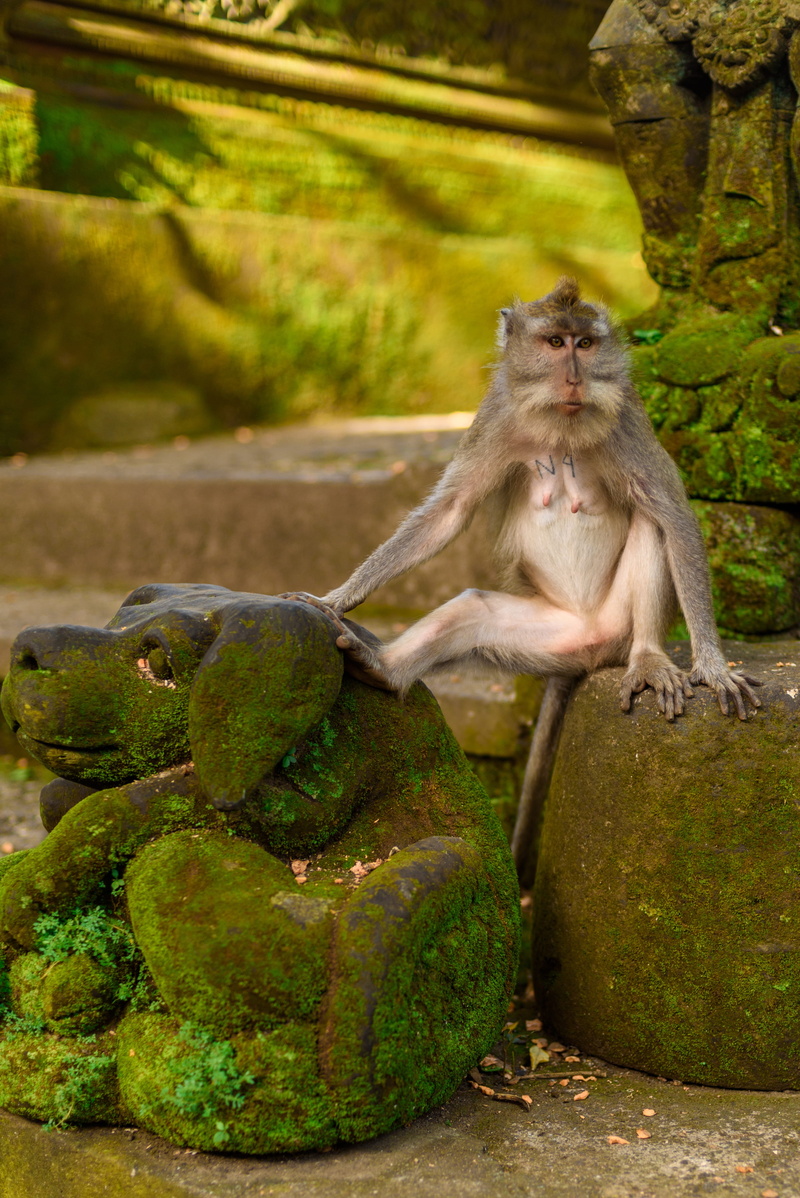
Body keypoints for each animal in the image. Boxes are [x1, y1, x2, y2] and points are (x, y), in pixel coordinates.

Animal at [284, 277, 761, 875]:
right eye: (555, 343)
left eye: (586, 344)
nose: (575, 377)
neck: (561, 422)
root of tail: (589, 644)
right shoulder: (495, 416)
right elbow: (450, 512)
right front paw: (339, 598)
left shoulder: (628, 416)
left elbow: (673, 516)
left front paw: (713, 666)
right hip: (550, 641)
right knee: (472, 609)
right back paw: (383, 670)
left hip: (616, 630)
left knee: (650, 525)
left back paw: (650, 660)